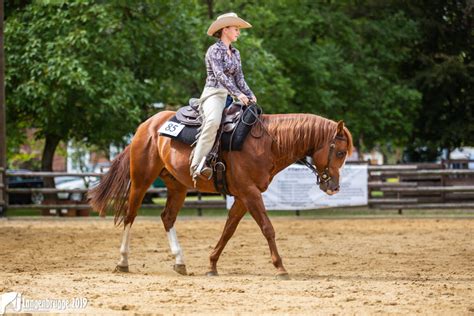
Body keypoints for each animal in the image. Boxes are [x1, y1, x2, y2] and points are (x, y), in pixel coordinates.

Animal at [89, 111, 352, 278]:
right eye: (339, 152)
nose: (334, 187)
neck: (267, 143)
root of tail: (146, 126)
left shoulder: (244, 197)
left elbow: (228, 230)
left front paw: (212, 264)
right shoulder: (250, 193)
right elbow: (267, 228)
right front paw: (280, 268)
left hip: (177, 187)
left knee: (167, 217)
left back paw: (180, 262)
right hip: (141, 181)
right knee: (130, 216)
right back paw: (123, 262)